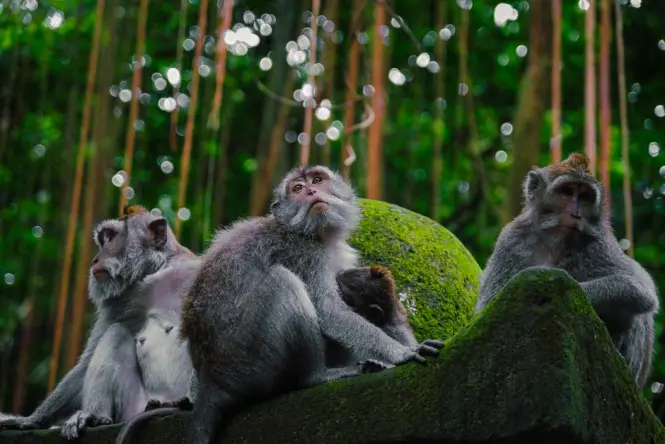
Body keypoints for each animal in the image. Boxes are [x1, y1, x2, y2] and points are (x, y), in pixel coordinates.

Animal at [0, 205, 199, 440]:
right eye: (103, 239)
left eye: (111, 237)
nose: (95, 259)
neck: (155, 275)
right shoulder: (120, 302)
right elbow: (87, 362)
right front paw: (31, 420)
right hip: (134, 407)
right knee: (115, 333)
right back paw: (93, 417)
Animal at [173, 165, 444, 444]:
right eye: (297, 188)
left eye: (317, 180)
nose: (311, 191)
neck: (312, 233)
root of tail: (212, 380)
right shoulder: (304, 253)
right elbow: (327, 310)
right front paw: (402, 353)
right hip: (244, 359)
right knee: (283, 282)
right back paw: (316, 376)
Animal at [475, 152, 659, 388]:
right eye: (566, 192)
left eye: (585, 196)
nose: (576, 214)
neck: (555, 241)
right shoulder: (511, 241)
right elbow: (488, 309)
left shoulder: (600, 243)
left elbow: (640, 290)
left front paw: (559, 284)